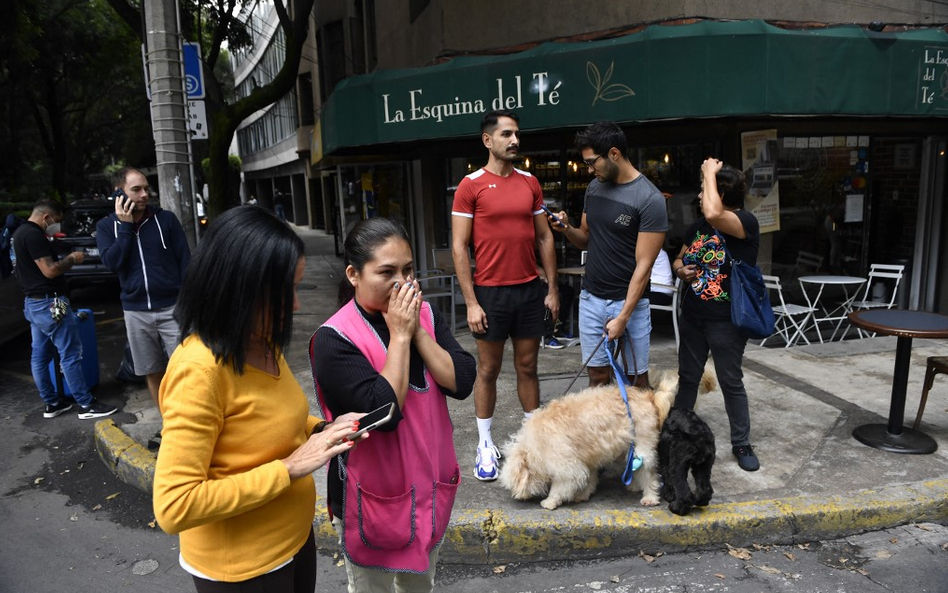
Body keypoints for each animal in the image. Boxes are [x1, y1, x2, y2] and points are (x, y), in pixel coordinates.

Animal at [500, 372, 716, 512]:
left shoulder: (567, 465)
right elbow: (589, 478)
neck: (535, 445)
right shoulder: (587, 458)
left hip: (643, 448)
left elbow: (561, 487)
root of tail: (650, 397)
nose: (516, 497)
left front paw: (550, 501)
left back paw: (650, 497)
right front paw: (583, 494)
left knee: (650, 474)